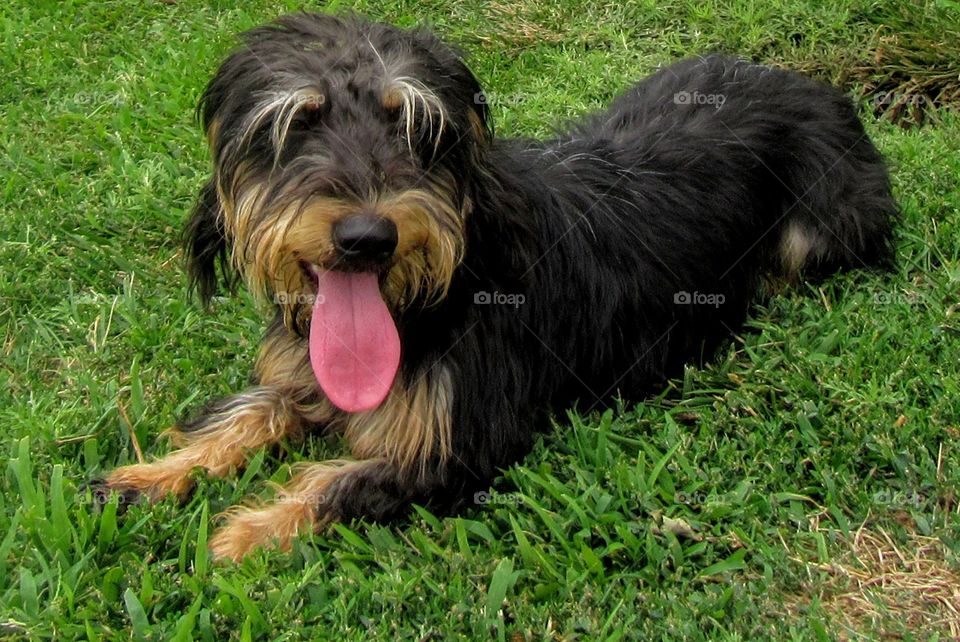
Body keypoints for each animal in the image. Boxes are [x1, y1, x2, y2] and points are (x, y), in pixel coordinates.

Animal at [94, 12, 896, 556]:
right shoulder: (302, 378)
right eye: (296, 125)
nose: (367, 237)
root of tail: (809, 84)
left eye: (417, 128)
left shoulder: (458, 448)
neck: (435, 295)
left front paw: (243, 532)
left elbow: (333, 482)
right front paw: (153, 476)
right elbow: (245, 414)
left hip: (821, 225)